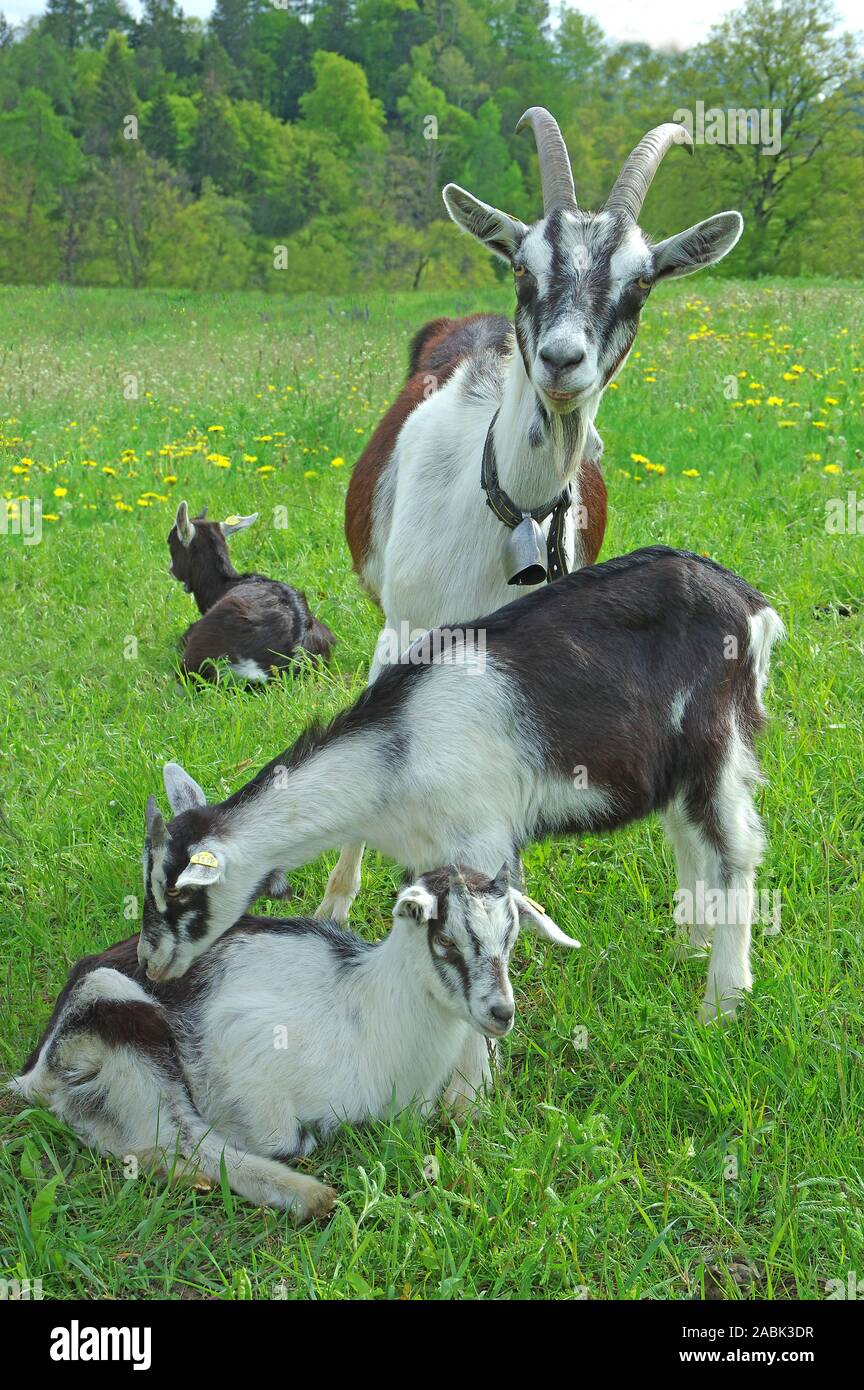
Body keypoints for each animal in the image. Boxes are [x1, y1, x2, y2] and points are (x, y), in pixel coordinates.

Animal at [10, 872, 575, 1223]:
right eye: (447, 940)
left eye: (512, 939)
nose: (501, 1012)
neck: (367, 1007)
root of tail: (33, 1075)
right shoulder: (243, 1042)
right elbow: (276, 1135)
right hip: (119, 1016)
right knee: (188, 1133)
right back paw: (310, 1197)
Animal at [134, 542, 783, 1106]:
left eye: (180, 893)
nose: (150, 963)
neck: (395, 758)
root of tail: (750, 603)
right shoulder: (431, 857)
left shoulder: (485, 843)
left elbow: (490, 934)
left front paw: (470, 1095)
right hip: (673, 766)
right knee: (690, 842)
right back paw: (688, 948)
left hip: (717, 741)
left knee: (736, 853)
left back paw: (722, 1000)